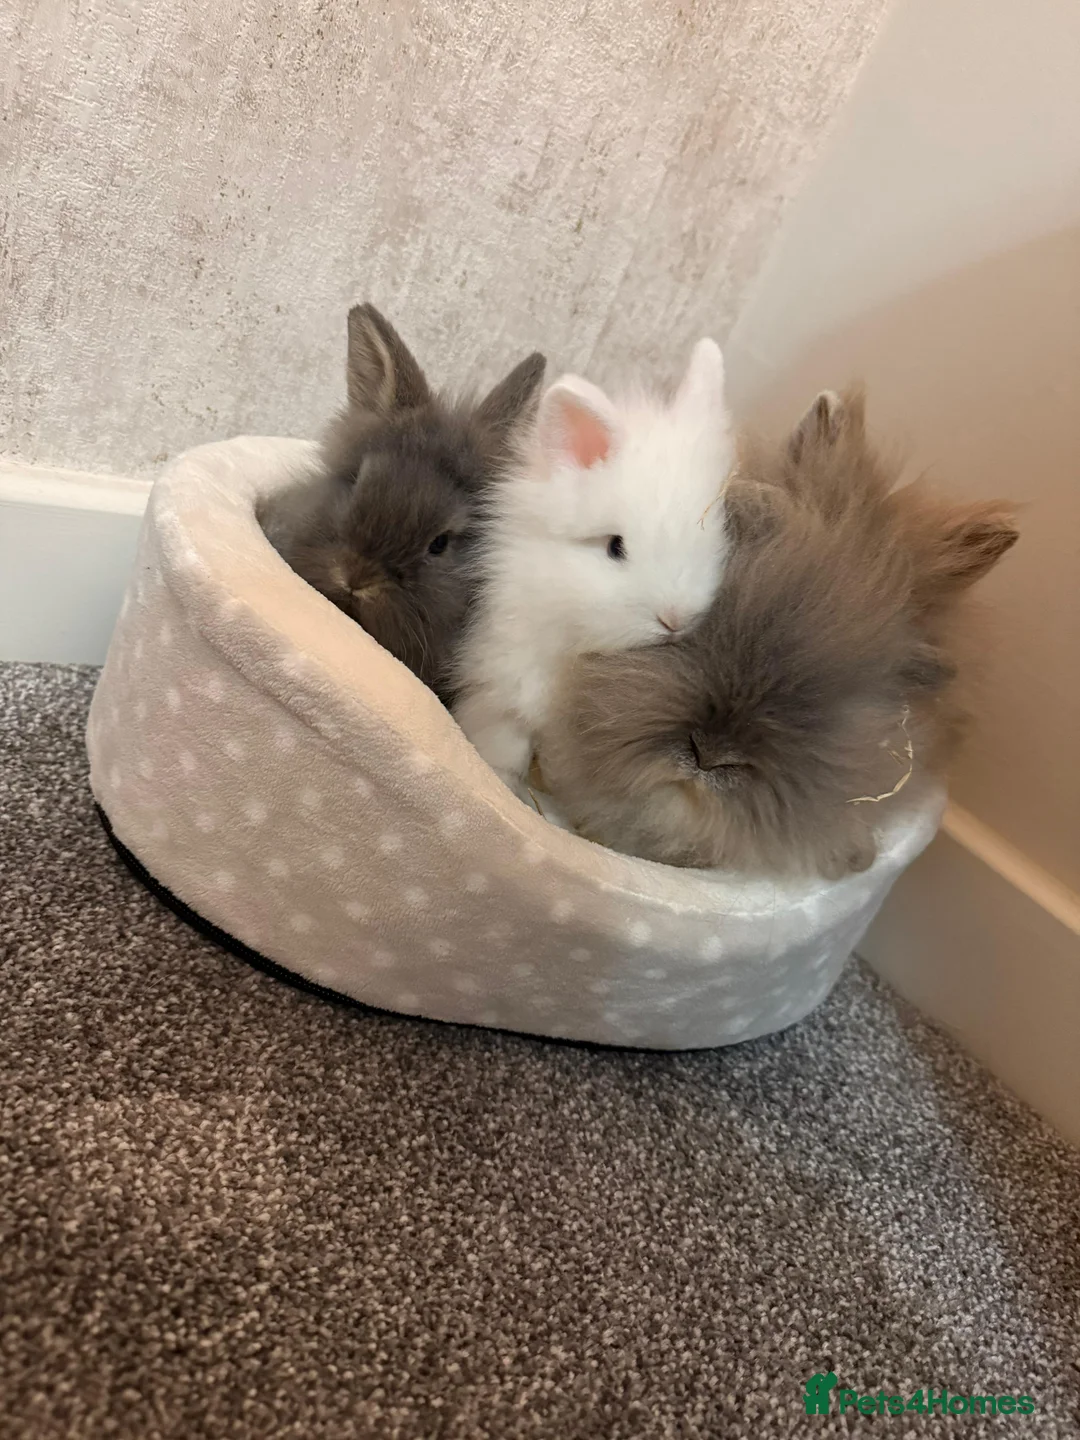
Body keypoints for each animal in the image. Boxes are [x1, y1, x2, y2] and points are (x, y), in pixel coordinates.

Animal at [452, 338, 738, 801]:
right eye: (614, 547)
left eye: (716, 534)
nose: (675, 619)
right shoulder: (502, 681)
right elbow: (504, 746)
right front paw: (504, 787)